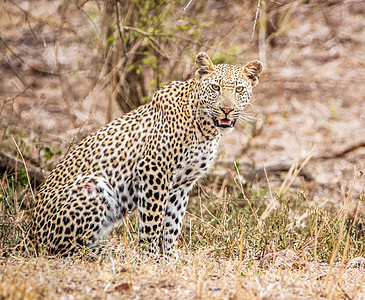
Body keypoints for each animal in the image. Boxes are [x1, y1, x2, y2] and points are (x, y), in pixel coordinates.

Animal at [28, 51, 262, 258]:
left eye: (239, 89)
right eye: (215, 87)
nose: (226, 110)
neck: (206, 130)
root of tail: (30, 232)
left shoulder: (182, 183)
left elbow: (172, 223)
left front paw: (169, 258)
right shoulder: (154, 170)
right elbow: (153, 220)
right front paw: (149, 257)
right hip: (93, 185)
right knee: (64, 247)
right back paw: (117, 253)